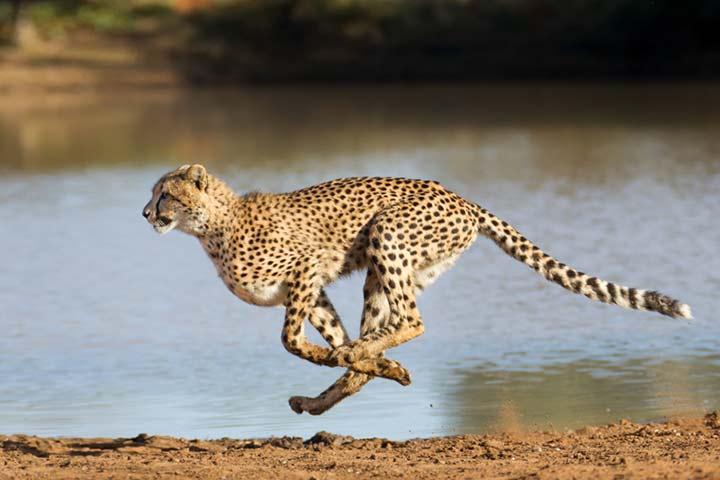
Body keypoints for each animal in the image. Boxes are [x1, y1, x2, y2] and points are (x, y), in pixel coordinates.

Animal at [142, 164, 692, 415]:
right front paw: (367, 364)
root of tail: (460, 197)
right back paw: (342, 385)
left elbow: (291, 340)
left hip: (387, 234)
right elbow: (331, 338)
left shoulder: (307, 269)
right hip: (388, 271)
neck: (211, 227)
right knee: (389, 327)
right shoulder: (312, 287)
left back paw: (360, 360)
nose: (146, 213)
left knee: (413, 321)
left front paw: (340, 357)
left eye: (165, 194)